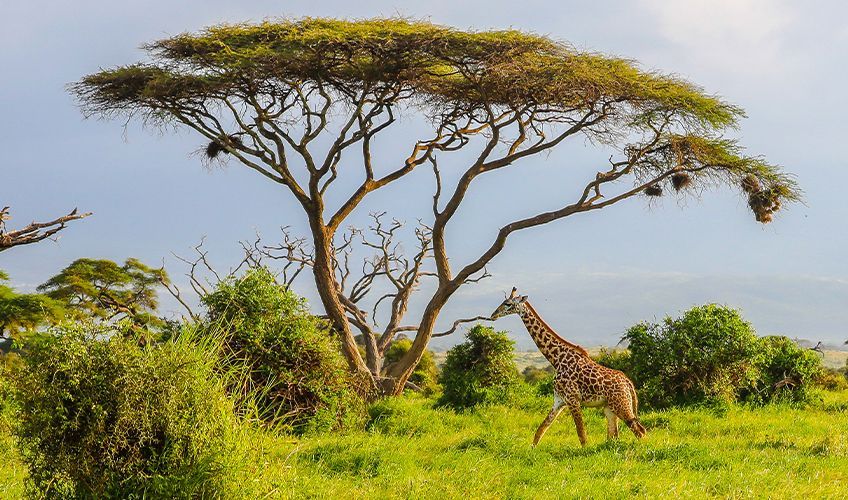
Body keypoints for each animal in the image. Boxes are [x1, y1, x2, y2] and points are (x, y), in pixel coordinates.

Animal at [490, 287, 646, 446]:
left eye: (508, 304)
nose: (493, 315)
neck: (556, 359)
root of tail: (628, 383)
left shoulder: (573, 399)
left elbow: (582, 435)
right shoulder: (559, 400)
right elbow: (540, 430)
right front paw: (531, 449)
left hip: (622, 405)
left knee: (640, 431)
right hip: (610, 408)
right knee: (613, 435)